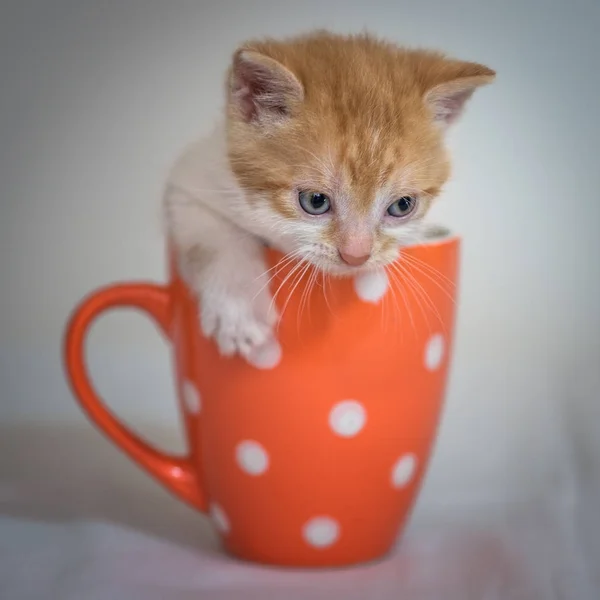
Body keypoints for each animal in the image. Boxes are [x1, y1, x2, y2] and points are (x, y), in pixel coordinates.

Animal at [163, 30, 492, 360]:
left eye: (402, 206)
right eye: (315, 201)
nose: (356, 255)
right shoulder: (192, 177)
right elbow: (210, 236)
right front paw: (238, 310)